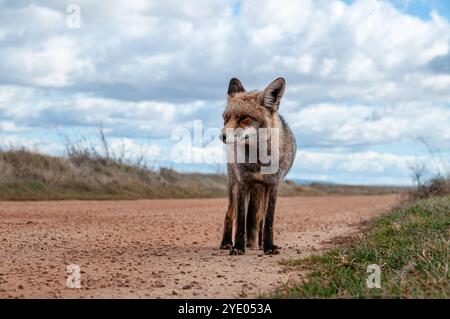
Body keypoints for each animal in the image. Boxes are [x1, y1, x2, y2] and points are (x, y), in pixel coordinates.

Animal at [220, 77, 298, 255]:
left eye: (244, 117)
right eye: (226, 118)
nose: (222, 136)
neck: (258, 162)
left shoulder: (272, 185)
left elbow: (268, 220)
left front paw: (269, 246)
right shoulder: (243, 184)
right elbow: (241, 221)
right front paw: (238, 247)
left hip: (261, 190)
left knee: (260, 218)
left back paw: (262, 243)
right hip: (233, 186)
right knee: (230, 214)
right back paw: (226, 242)